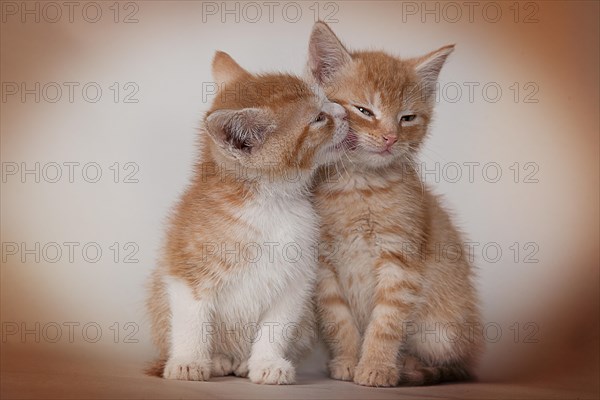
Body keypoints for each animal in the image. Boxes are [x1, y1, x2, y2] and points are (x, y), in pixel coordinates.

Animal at [147, 50, 350, 384]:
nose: (345, 112)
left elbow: (275, 327)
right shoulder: (185, 267)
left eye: (328, 101)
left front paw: (267, 363)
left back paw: (242, 362)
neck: (268, 204)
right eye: (319, 118)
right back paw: (218, 359)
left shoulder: (296, 279)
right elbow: (192, 320)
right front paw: (189, 360)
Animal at [310, 21, 482, 388]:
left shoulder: (400, 261)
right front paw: (348, 360)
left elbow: (386, 322)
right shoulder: (324, 266)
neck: (359, 187)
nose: (390, 137)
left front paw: (376, 366)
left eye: (407, 118)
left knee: (460, 364)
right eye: (364, 110)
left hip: (442, 330)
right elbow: (337, 319)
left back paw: (412, 367)